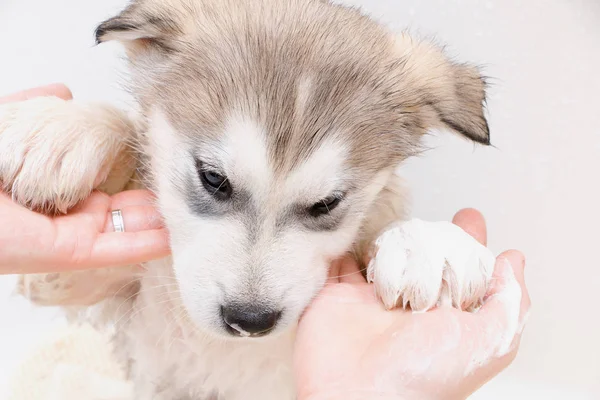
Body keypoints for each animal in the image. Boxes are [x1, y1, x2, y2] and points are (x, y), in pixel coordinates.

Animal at [2, 1, 494, 398]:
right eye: (213, 178)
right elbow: (122, 132)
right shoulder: (76, 283)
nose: (249, 321)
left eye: (327, 204)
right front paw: (61, 127)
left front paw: (428, 243)